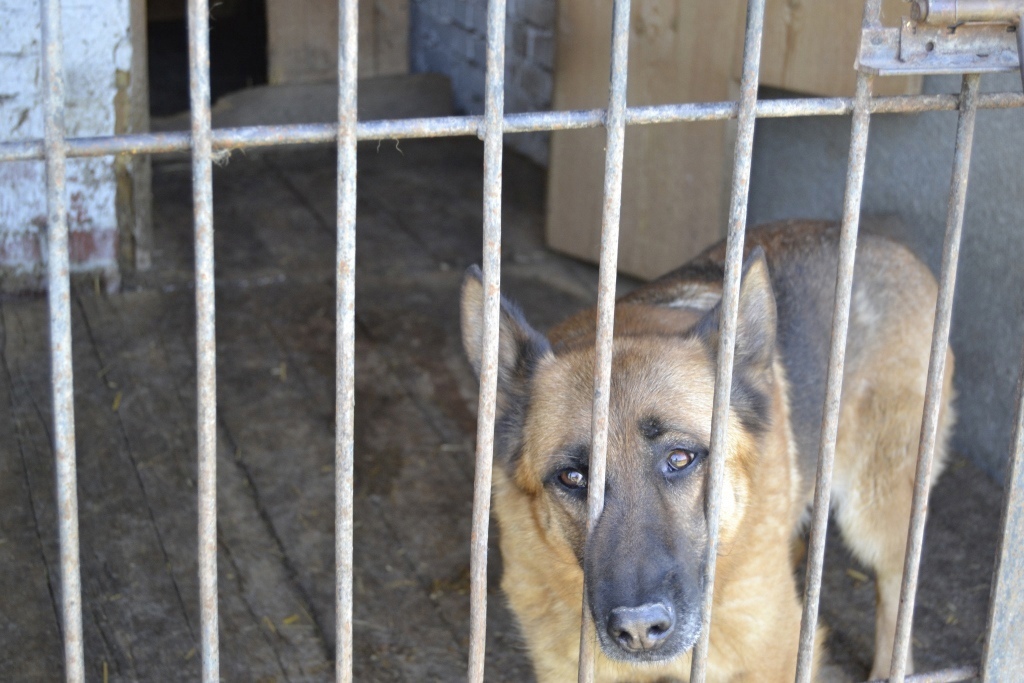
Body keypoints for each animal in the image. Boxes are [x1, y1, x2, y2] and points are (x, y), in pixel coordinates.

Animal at [460, 222, 954, 679]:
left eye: (681, 458)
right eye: (573, 477)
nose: (638, 628)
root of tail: (886, 242)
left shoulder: (776, 656)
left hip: (874, 513)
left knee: (895, 587)